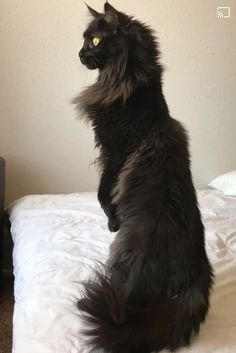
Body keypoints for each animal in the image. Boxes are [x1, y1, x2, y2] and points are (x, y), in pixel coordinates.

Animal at [74, 2, 214, 352]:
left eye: (95, 41)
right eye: (84, 40)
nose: (79, 53)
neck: (131, 83)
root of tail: (198, 272)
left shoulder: (114, 154)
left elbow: (104, 193)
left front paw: (112, 221)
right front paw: (112, 221)